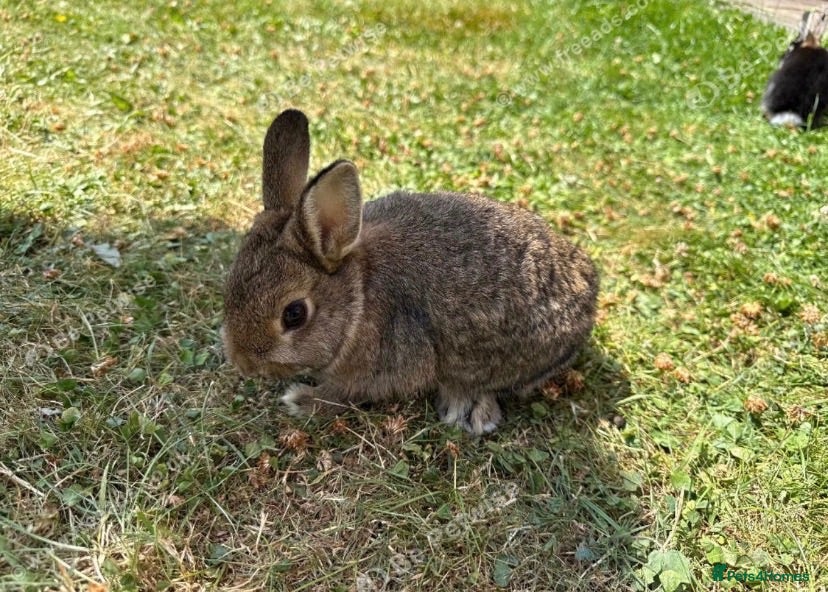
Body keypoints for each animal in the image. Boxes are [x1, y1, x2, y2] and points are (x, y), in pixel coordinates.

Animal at [221, 109, 599, 435]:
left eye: (294, 314)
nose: (243, 364)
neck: (358, 298)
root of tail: (589, 285)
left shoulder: (382, 371)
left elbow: (344, 395)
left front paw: (301, 400)